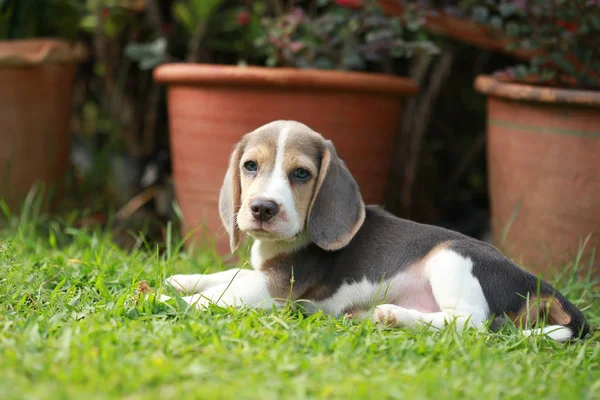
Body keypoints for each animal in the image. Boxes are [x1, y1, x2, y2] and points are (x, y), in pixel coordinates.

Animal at [166, 120, 588, 342]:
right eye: (250, 166)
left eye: (301, 173)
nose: (263, 208)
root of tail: (543, 286)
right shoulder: (260, 272)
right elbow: (225, 274)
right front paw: (179, 280)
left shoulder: (275, 286)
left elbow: (221, 293)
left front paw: (166, 298)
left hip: (452, 257)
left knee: (472, 324)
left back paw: (391, 315)